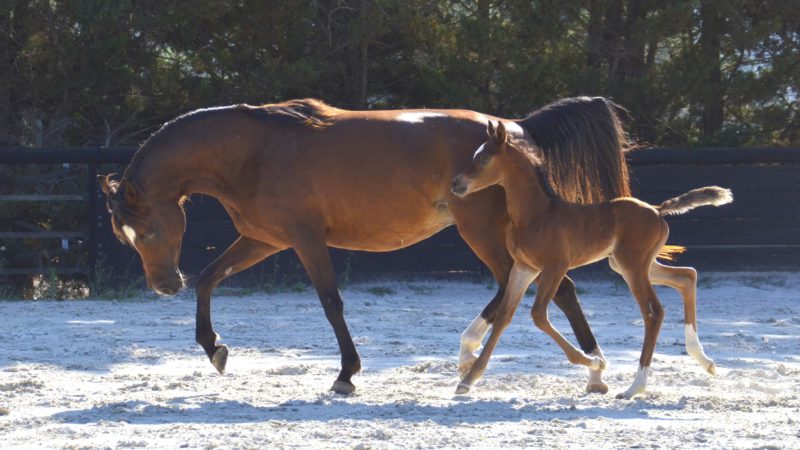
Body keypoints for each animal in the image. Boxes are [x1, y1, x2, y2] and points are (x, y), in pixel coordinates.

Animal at [99, 96, 632, 394]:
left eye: (149, 231)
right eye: (123, 237)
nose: (164, 285)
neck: (253, 151)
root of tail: (513, 130)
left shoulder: (305, 240)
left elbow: (331, 302)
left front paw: (346, 374)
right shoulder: (263, 240)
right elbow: (210, 279)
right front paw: (215, 350)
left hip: (481, 229)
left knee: (526, 289)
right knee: (549, 289)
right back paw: (590, 368)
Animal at [451, 121, 729, 398]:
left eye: (484, 157)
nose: (456, 184)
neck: (536, 214)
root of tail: (657, 209)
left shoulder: (555, 267)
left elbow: (538, 314)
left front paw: (596, 362)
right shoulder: (524, 268)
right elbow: (504, 316)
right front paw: (468, 380)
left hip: (632, 266)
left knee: (653, 312)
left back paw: (635, 387)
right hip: (633, 264)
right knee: (687, 276)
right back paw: (704, 360)